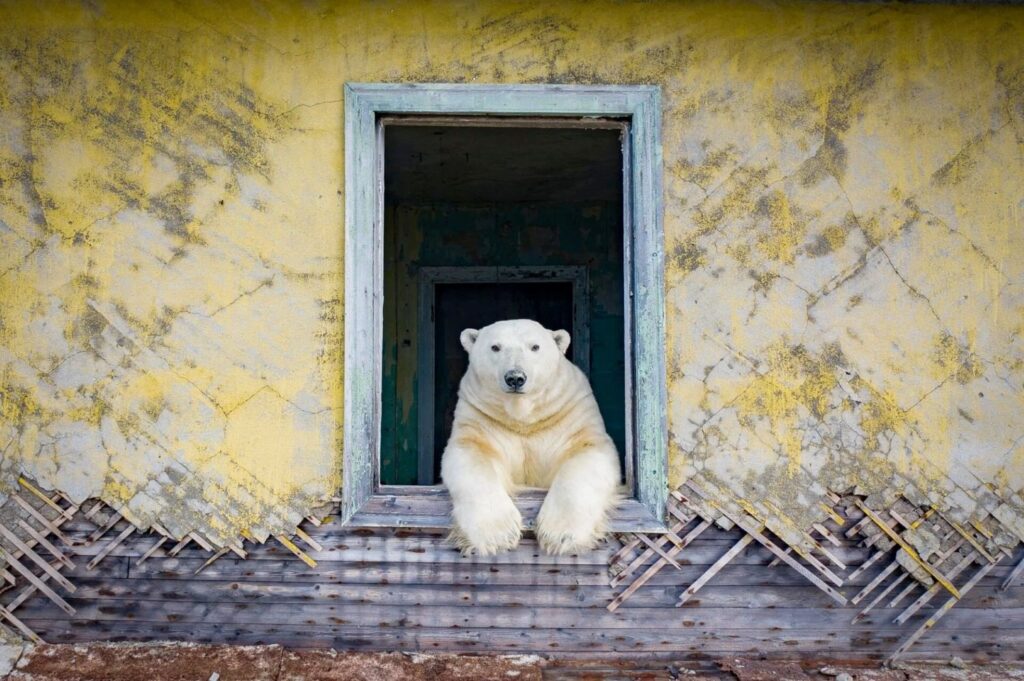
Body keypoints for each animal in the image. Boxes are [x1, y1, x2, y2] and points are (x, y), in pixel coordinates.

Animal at [440, 318, 622, 556]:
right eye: (495, 347)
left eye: (535, 347)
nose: (515, 377)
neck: (523, 418)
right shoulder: (480, 417)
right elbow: (471, 455)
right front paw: (497, 535)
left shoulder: (570, 413)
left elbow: (587, 452)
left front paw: (560, 535)